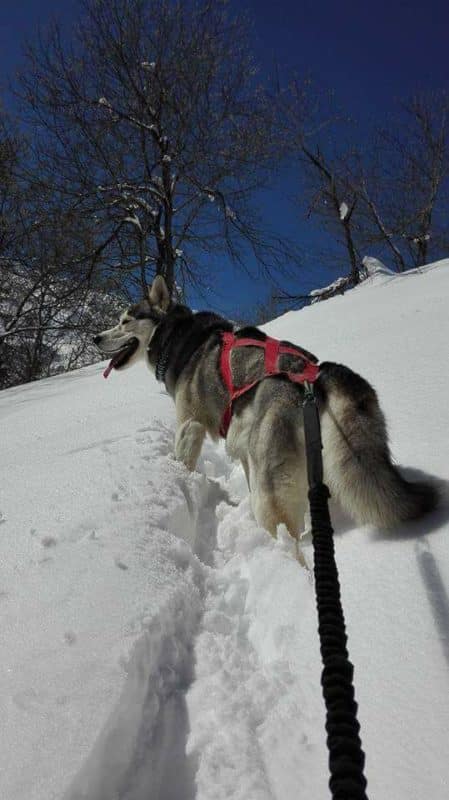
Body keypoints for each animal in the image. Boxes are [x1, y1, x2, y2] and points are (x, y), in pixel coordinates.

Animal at [95, 276, 438, 564]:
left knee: (288, 539)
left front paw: (180, 479)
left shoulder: (190, 425)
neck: (178, 338)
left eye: (125, 321)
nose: (97, 338)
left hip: (271, 488)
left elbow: (184, 460)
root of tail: (314, 378)